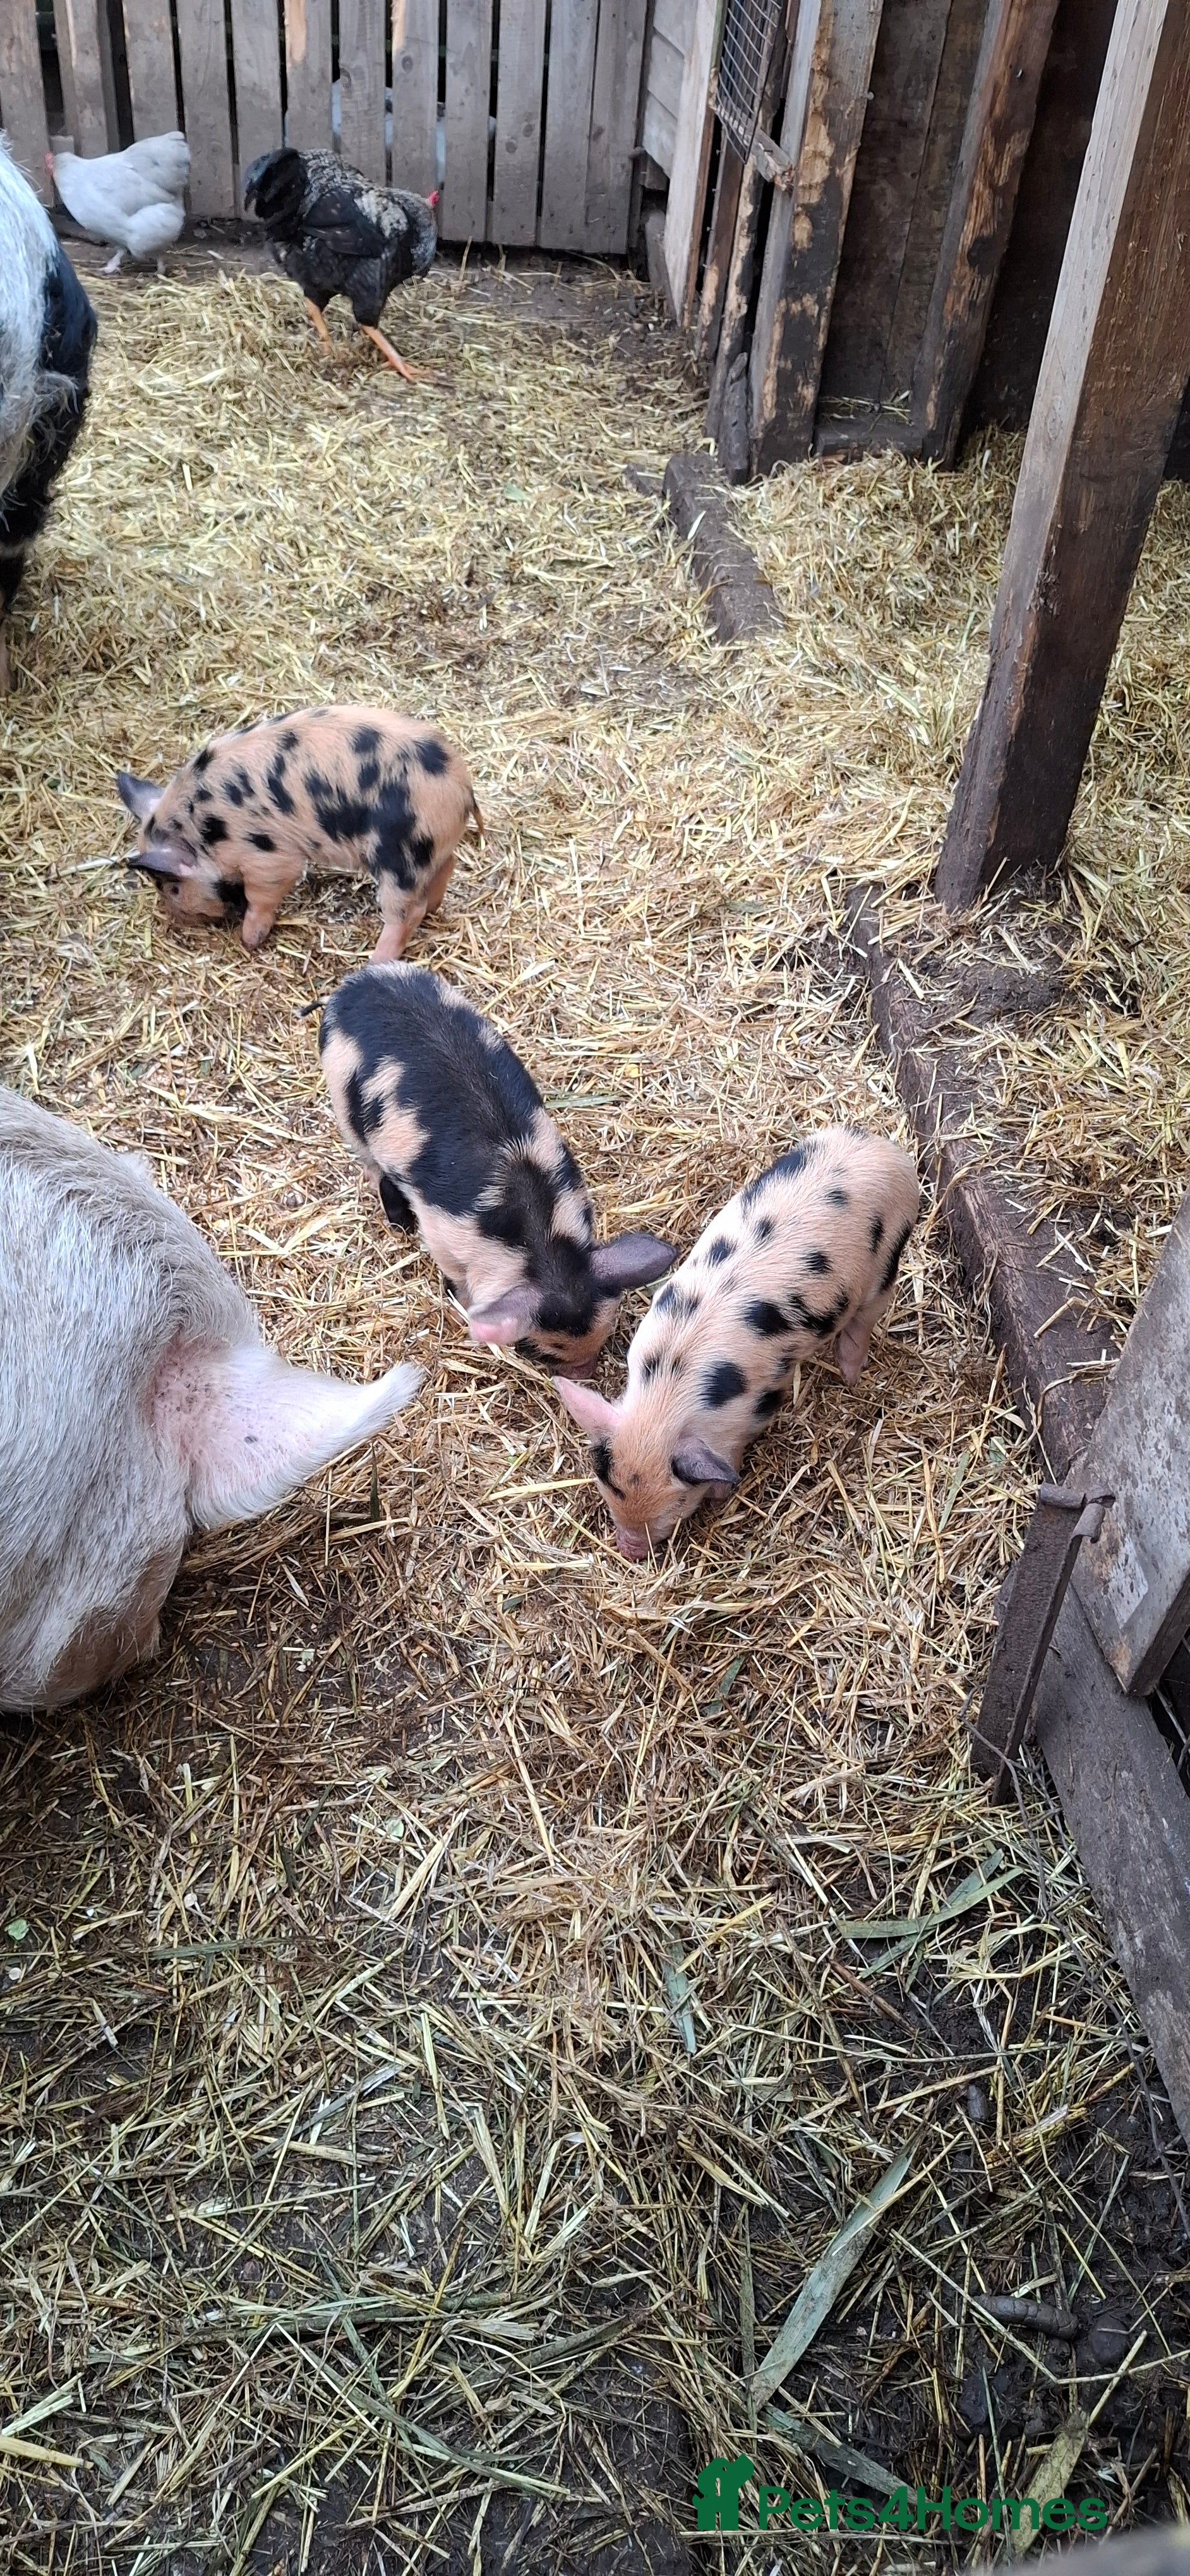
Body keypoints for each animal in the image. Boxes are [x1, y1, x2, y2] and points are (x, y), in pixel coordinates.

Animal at [116, 705, 480, 957]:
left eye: (173, 888)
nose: (180, 920)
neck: (202, 829)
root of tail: (462, 788)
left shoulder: (265, 855)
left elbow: (263, 894)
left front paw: (248, 942)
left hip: (397, 855)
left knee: (407, 913)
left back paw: (373, 963)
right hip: (427, 848)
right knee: (447, 866)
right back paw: (434, 907)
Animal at [319, 963, 676, 1375]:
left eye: (607, 1331)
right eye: (545, 1349)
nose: (584, 1373)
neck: (535, 1238)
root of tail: (355, 982)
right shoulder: (442, 1232)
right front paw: (457, 1297)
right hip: (343, 1103)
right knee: (372, 1165)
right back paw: (398, 1221)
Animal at [554, 1128, 920, 1558]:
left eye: (677, 1502)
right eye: (608, 1490)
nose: (629, 1549)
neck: (667, 1393)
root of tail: (890, 1153)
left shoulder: (758, 1403)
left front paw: (720, 1494)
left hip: (889, 1255)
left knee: (870, 1311)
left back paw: (850, 1374)